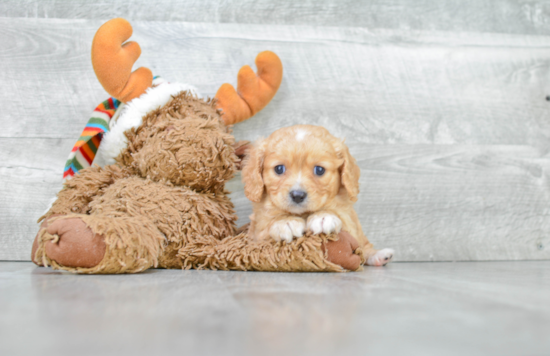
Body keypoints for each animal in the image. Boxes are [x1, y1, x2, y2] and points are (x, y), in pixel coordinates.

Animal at [244, 124, 394, 266]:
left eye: (320, 170)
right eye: (279, 169)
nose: (297, 195)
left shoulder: (349, 222)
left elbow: (339, 213)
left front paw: (324, 216)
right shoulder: (255, 235)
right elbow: (266, 224)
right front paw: (285, 221)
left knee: (364, 246)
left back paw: (379, 256)